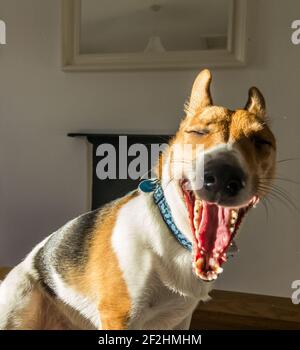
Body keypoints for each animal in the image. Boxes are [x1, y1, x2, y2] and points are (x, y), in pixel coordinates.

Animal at [0, 69, 276, 330]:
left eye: (261, 142)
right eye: (198, 132)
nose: (222, 175)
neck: (175, 235)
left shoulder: (179, 319)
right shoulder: (119, 315)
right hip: (23, 298)